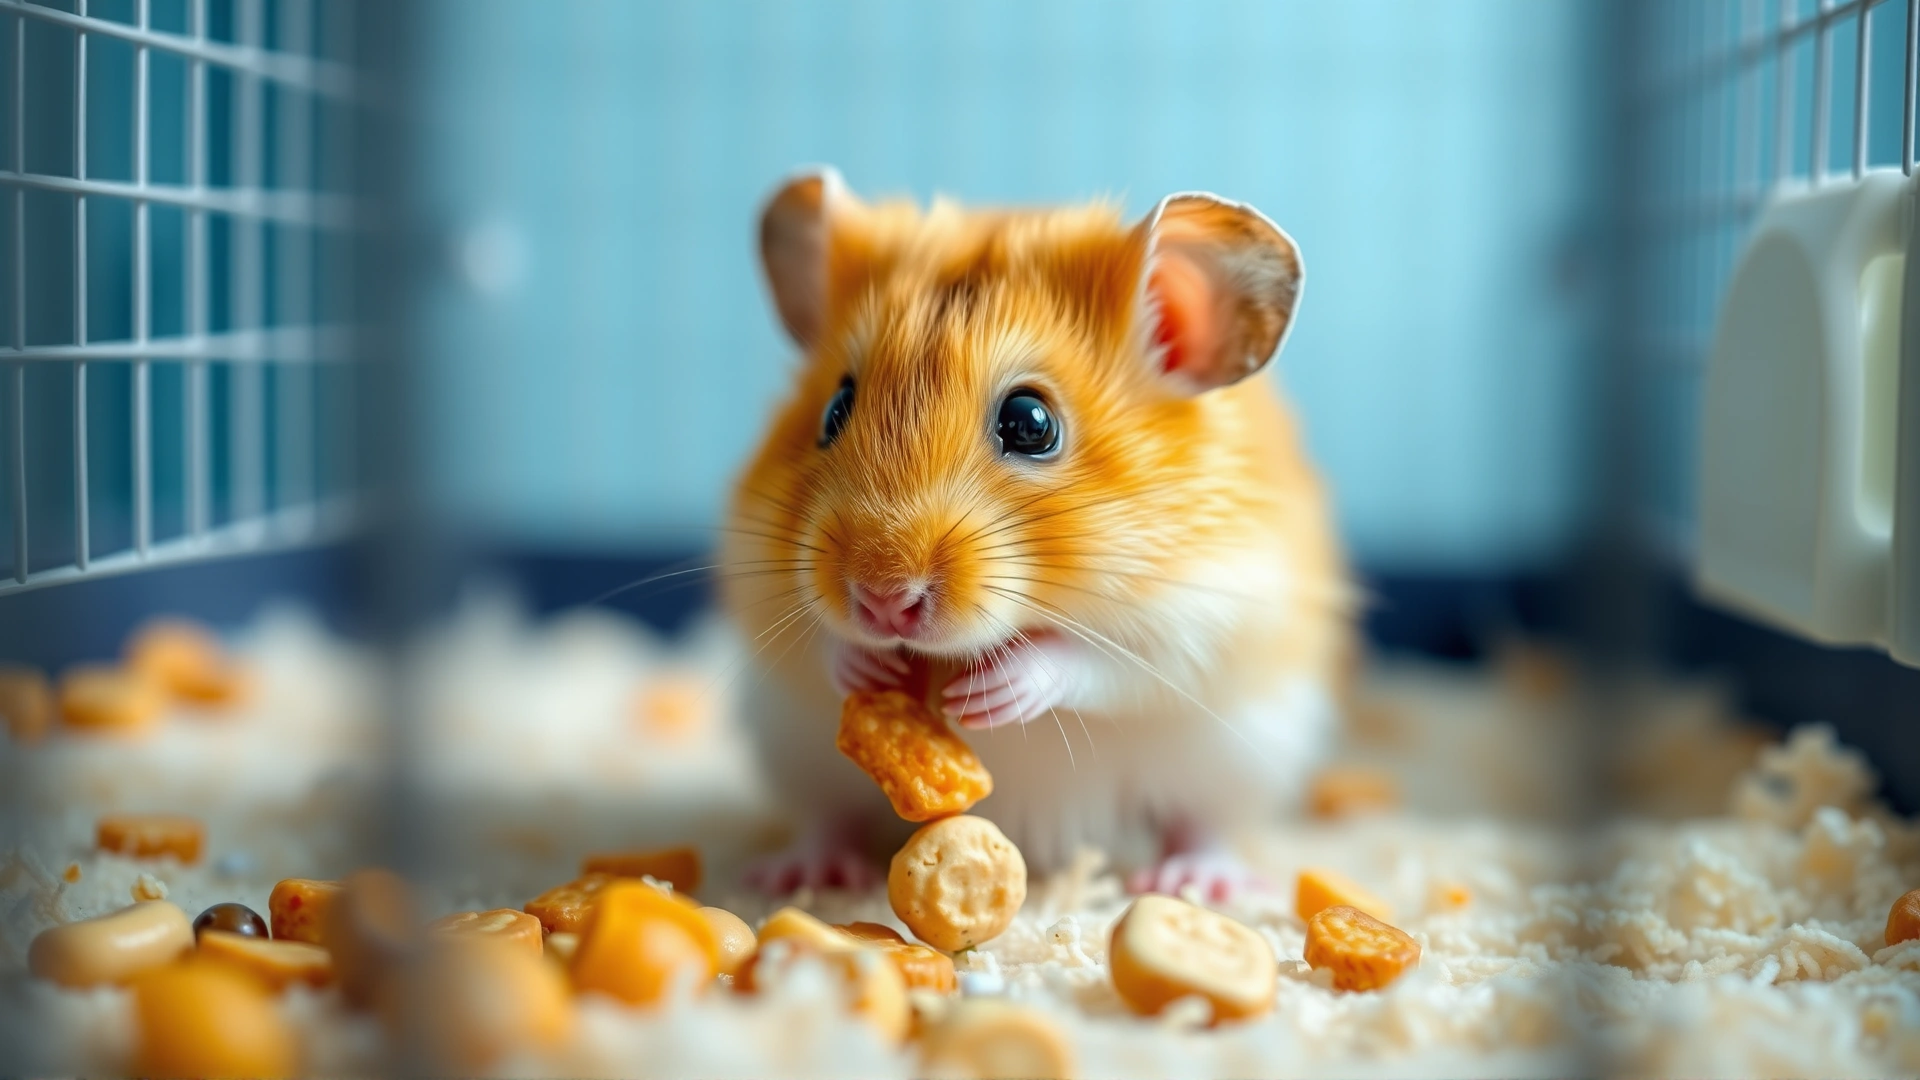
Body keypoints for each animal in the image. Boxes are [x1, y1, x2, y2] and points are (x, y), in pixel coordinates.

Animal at [722, 167, 1354, 899]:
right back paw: (801, 872)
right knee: (830, 815)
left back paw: (1196, 882)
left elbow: (1099, 662)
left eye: (1030, 423)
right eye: (834, 408)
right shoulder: (757, 581)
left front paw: (989, 693)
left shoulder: (1209, 613)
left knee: (1201, 823)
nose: (881, 601)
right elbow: (811, 640)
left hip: (1235, 761)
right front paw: (867, 664)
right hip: (798, 752)